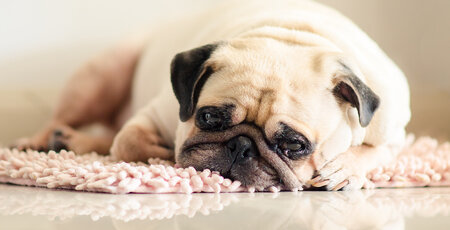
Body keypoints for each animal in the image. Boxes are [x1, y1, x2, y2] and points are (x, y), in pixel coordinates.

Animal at [14, 0, 410, 190]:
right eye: (208, 118)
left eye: (294, 146)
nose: (241, 146)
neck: (292, 35)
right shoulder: (157, 112)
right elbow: (128, 141)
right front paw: (159, 152)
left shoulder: (395, 134)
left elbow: (375, 152)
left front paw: (344, 169)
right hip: (100, 76)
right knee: (76, 121)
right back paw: (42, 141)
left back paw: (72, 141)